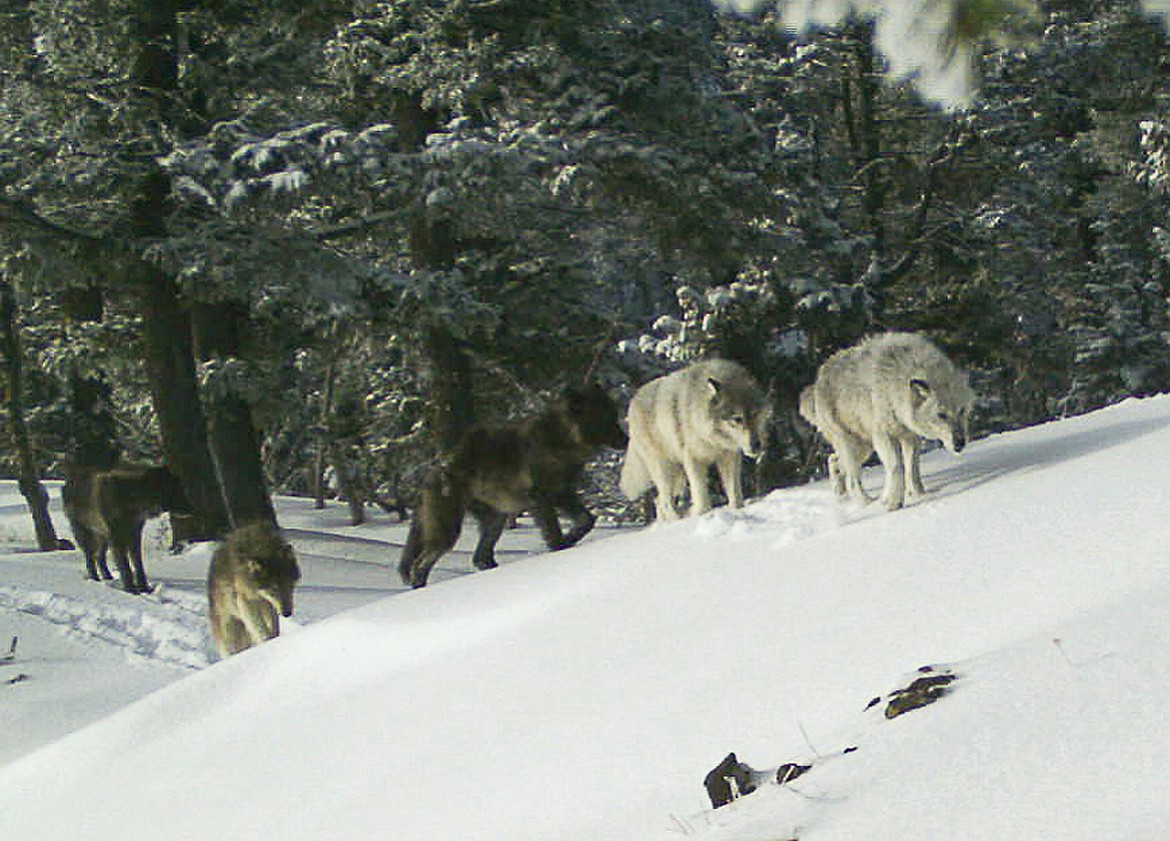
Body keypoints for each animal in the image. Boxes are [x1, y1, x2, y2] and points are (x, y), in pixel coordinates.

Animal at [62, 463, 190, 596]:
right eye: (175, 490)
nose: (192, 509)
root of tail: (67, 483)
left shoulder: (134, 534)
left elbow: (138, 564)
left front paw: (145, 588)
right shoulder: (117, 538)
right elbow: (125, 566)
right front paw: (131, 590)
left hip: (103, 537)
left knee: (100, 557)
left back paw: (108, 578)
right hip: (85, 533)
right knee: (90, 558)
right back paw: (95, 579)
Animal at [209, 524, 304, 659]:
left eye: (290, 586)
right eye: (274, 588)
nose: (287, 613)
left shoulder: (270, 607)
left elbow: (273, 627)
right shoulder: (246, 602)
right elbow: (260, 629)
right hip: (229, 632)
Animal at [395, 383, 631, 589]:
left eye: (614, 415)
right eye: (605, 418)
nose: (627, 440)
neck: (562, 439)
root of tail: (430, 473)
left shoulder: (563, 493)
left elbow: (586, 520)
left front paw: (570, 538)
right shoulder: (541, 497)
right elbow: (554, 531)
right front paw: (560, 548)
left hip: (495, 520)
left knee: (479, 558)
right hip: (448, 531)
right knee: (420, 565)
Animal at [617, 360, 772, 519]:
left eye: (754, 414)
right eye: (737, 419)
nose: (757, 445)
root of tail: (633, 401)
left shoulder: (729, 456)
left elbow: (734, 492)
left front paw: (737, 510)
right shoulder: (694, 460)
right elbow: (701, 494)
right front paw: (701, 514)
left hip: (678, 477)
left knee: (659, 501)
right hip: (665, 470)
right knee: (665, 502)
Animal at [800, 332, 973, 509]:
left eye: (961, 411)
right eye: (941, 415)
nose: (960, 443)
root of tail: (818, 381)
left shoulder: (910, 436)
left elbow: (912, 467)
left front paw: (918, 494)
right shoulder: (885, 436)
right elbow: (896, 466)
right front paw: (893, 502)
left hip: (865, 448)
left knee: (833, 461)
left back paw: (841, 495)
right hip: (854, 446)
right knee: (852, 479)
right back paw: (867, 504)